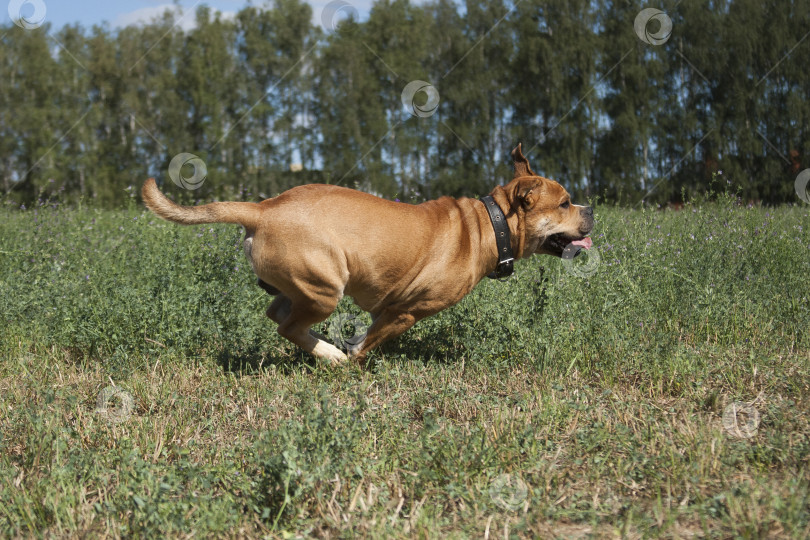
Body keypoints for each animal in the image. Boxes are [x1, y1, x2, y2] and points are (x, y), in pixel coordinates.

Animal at [142, 143, 592, 364]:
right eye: (565, 203)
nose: (590, 210)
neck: (489, 223)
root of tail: (264, 208)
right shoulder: (406, 312)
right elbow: (369, 343)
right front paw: (352, 355)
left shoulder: (388, 306)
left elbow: (365, 332)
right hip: (325, 287)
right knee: (287, 326)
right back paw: (329, 355)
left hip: (302, 286)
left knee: (279, 313)